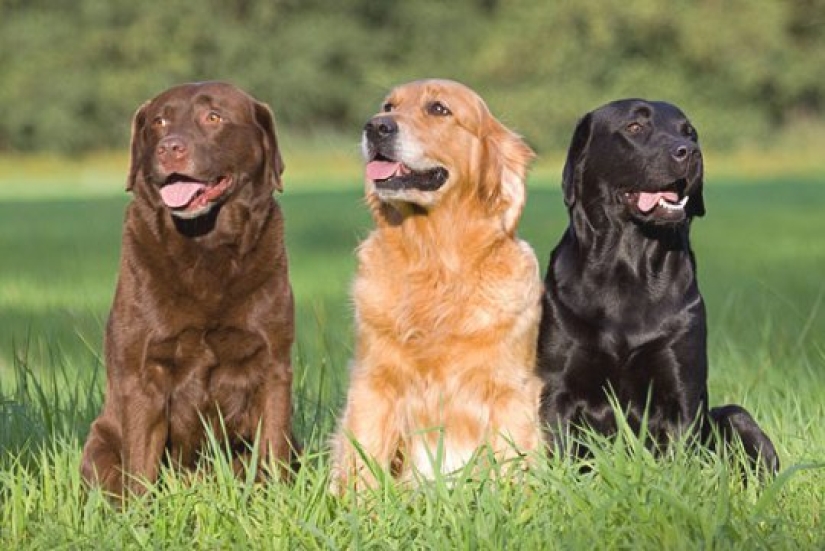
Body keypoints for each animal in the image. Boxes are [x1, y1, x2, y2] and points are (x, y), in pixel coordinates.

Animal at [79, 83, 296, 500]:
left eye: (213, 117)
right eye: (159, 122)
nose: (169, 148)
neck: (205, 245)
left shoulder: (274, 366)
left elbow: (272, 451)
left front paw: (278, 502)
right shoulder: (143, 373)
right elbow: (140, 467)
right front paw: (139, 516)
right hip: (100, 442)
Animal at [332, 80, 544, 490]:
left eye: (439, 109)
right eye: (388, 105)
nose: (376, 126)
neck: (435, 264)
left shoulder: (511, 390)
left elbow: (512, 465)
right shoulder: (373, 383)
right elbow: (363, 462)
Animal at [536, 99, 776, 474]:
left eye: (690, 133)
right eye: (635, 127)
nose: (691, 152)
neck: (628, 269)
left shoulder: (682, 393)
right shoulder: (558, 390)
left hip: (735, 416)